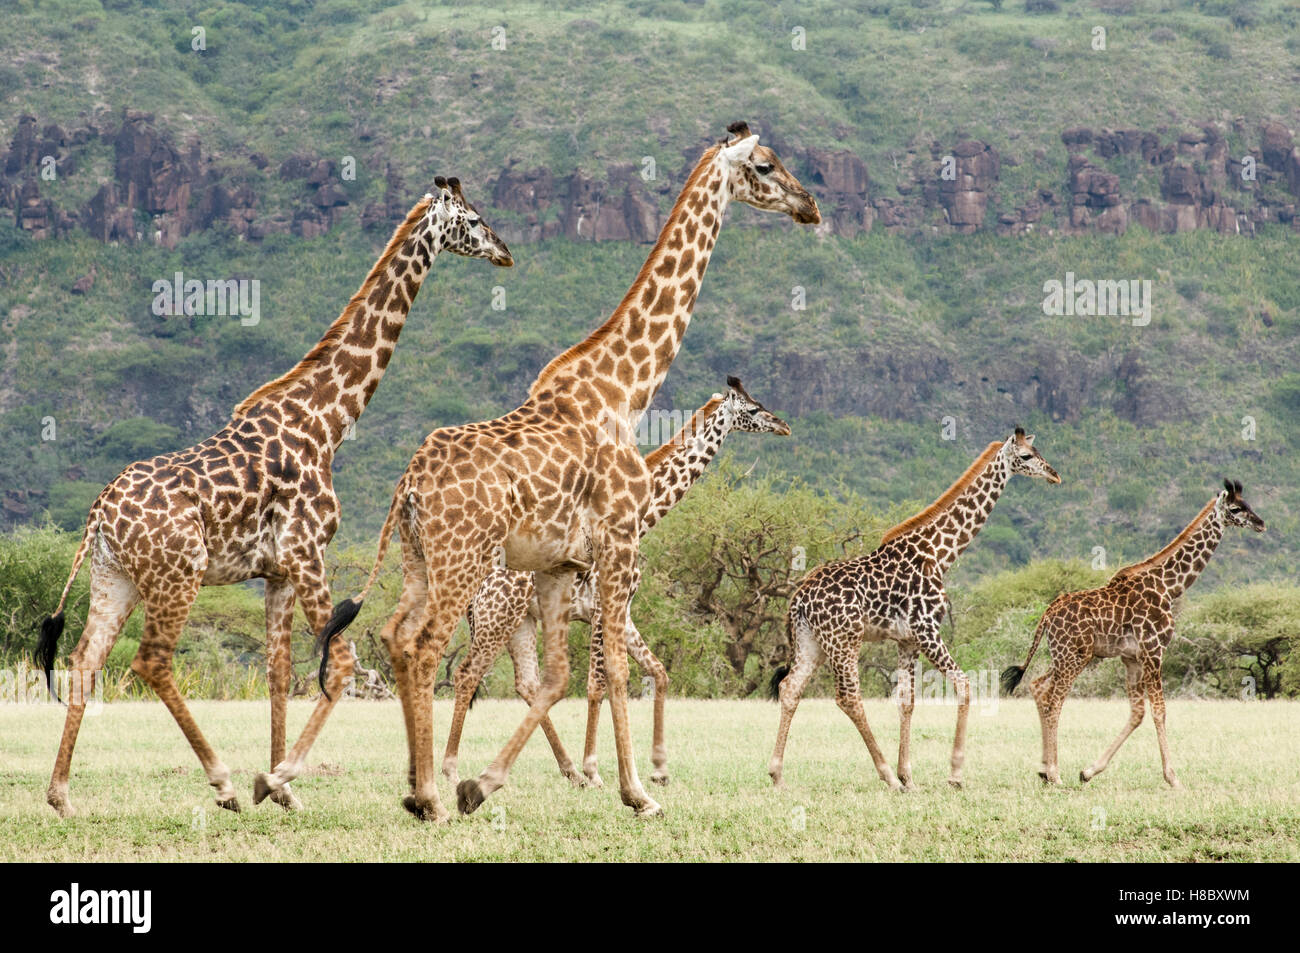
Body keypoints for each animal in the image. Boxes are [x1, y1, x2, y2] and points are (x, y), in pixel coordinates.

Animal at [34, 179, 511, 818]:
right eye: (474, 219)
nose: (505, 253)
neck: (327, 422)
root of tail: (97, 515)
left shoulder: (278, 570)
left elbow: (279, 669)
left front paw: (284, 790)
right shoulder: (308, 553)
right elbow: (342, 661)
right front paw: (273, 779)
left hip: (116, 577)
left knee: (85, 660)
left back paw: (62, 796)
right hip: (176, 575)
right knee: (150, 660)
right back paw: (225, 783)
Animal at [440, 376, 791, 791]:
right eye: (753, 409)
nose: (784, 426)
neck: (643, 517)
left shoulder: (624, 612)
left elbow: (658, 671)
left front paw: (658, 768)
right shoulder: (601, 607)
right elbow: (598, 684)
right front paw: (595, 769)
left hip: (519, 620)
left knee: (527, 684)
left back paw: (568, 770)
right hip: (497, 616)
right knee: (467, 674)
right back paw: (452, 769)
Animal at [768, 429, 1061, 792]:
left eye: (1038, 450)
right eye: (1025, 456)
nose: (1055, 475)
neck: (939, 553)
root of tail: (798, 600)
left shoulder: (907, 639)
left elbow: (906, 700)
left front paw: (909, 775)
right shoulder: (927, 630)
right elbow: (964, 684)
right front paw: (954, 774)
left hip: (813, 643)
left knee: (790, 688)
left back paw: (778, 774)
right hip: (844, 640)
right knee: (848, 698)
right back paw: (885, 775)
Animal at [1002, 479, 1265, 789]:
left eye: (1249, 505)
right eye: (1236, 509)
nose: (1261, 524)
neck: (1169, 586)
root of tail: (1047, 614)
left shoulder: (1132, 657)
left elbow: (1137, 712)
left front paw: (1089, 771)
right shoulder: (1154, 649)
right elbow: (1159, 710)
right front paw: (1173, 778)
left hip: (1065, 655)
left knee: (1039, 687)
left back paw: (1044, 771)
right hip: (1074, 656)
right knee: (1054, 699)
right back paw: (1054, 773)